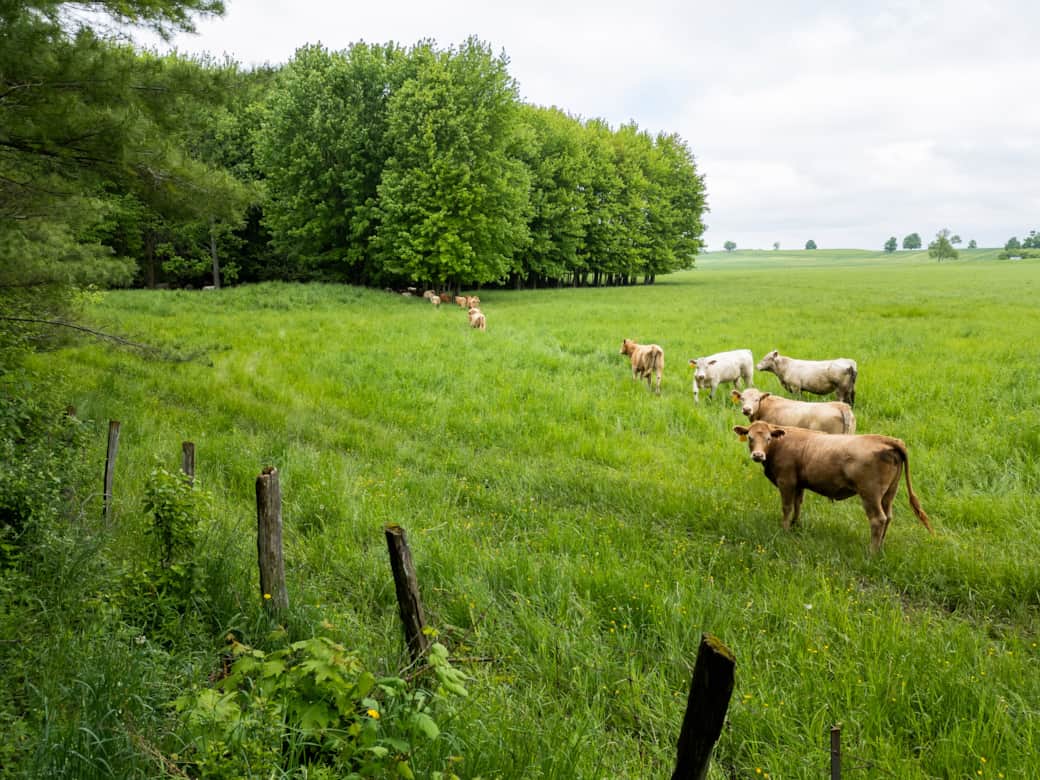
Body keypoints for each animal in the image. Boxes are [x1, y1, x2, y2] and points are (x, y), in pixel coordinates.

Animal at [732, 420, 933, 552]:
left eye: (768, 438)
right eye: (750, 437)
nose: (758, 455)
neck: (781, 444)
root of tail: (887, 440)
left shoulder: (786, 481)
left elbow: (787, 507)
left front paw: (785, 529)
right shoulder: (799, 483)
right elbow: (798, 505)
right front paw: (796, 525)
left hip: (870, 494)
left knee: (878, 520)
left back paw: (872, 552)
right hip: (889, 492)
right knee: (889, 517)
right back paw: (880, 547)